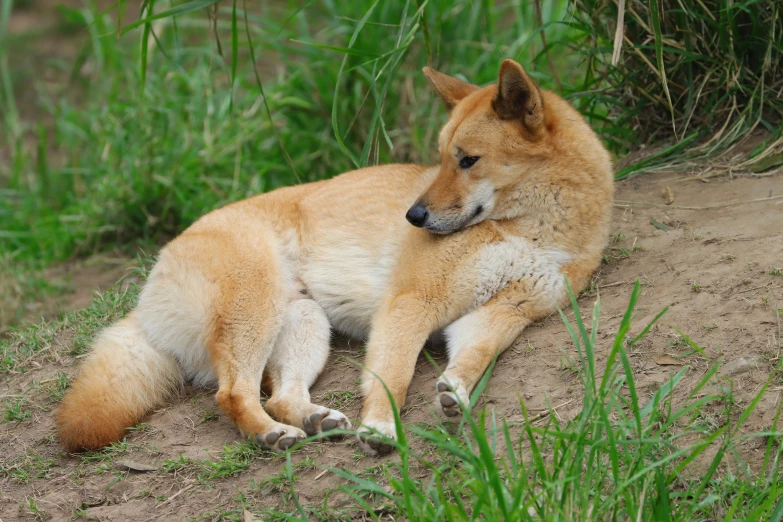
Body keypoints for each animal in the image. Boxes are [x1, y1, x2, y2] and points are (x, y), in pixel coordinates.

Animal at [58, 59, 616, 452]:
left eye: (468, 160)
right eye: (441, 159)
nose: (414, 216)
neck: (533, 230)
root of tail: (152, 286)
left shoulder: (504, 312)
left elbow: (476, 356)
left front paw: (454, 390)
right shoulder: (413, 303)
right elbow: (392, 376)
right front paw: (382, 426)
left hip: (305, 323)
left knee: (280, 394)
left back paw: (313, 419)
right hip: (255, 311)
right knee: (233, 393)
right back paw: (270, 433)